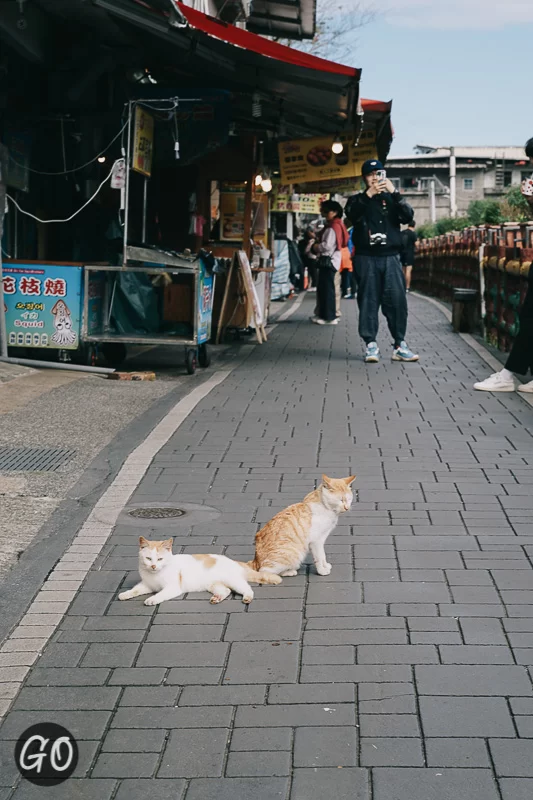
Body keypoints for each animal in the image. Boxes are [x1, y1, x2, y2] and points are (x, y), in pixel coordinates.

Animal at [118, 536, 280, 608]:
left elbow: (160, 594)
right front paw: (124, 594)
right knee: (225, 591)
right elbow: (135, 590)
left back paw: (247, 598)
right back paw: (216, 598)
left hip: (234, 581)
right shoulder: (146, 585)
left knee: (248, 589)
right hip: (213, 585)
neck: (155, 575)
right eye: (148, 558)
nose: (153, 566)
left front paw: (152, 599)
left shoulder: (172, 588)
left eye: (160, 559)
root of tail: (234, 562)